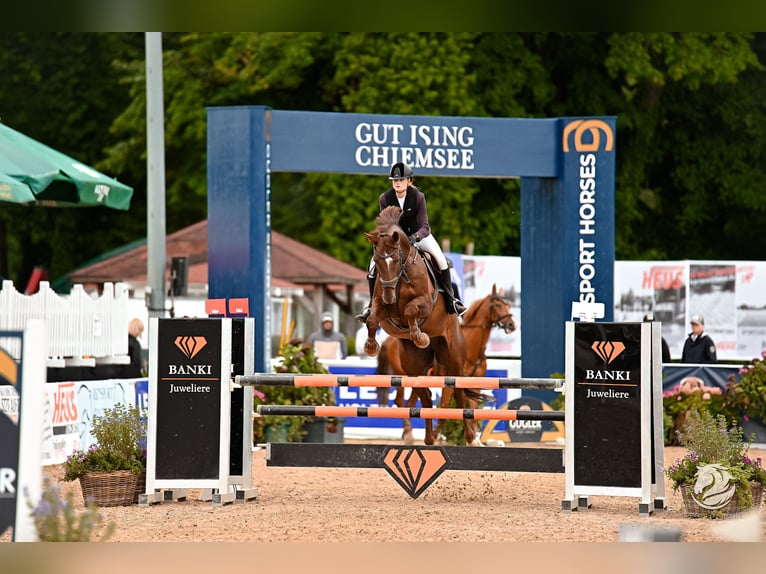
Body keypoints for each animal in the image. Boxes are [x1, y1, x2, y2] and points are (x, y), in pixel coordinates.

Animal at [362, 205, 472, 445]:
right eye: (377, 260)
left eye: (395, 258)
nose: (389, 296)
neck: (401, 276)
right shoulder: (382, 307)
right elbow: (373, 319)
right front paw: (371, 346)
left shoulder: (424, 304)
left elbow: (411, 310)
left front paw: (419, 336)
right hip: (414, 368)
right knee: (427, 398)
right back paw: (429, 439)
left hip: (454, 360)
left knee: (458, 394)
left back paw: (471, 438)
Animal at [376, 284, 517, 445]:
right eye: (498, 305)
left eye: (508, 305)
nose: (512, 325)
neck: (472, 345)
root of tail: (390, 340)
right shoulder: (450, 380)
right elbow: (445, 409)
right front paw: (437, 435)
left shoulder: (475, 382)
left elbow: (472, 411)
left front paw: (475, 438)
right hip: (402, 375)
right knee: (400, 400)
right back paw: (409, 434)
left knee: (411, 402)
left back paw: (407, 434)